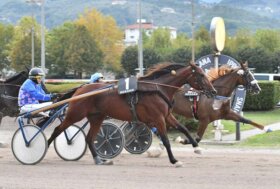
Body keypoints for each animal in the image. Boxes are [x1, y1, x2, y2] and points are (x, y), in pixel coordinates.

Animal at [48, 62, 217, 166]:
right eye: (201, 75)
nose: (214, 91)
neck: (158, 89)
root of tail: (80, 89)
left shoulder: (167, 116)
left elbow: (183, 128)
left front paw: (196, 147)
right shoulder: (158, 118)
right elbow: (166, 140)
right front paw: (175, 160)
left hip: (97, 117)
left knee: (89, 138)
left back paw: (100, 160)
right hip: (75, 114)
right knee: (58, 130)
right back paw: (44, 148)